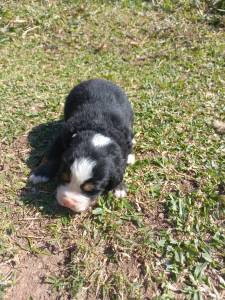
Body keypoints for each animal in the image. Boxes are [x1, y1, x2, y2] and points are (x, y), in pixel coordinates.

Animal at [29, 78, 135, 212]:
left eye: (91, 190)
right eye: (64, 177)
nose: (68, 202)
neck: (98, 129)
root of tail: (99, 79)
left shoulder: (122, 145)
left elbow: (122, 164)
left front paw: (119, 188)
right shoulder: (62, 136)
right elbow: (52, 155)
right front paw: (40, 173)